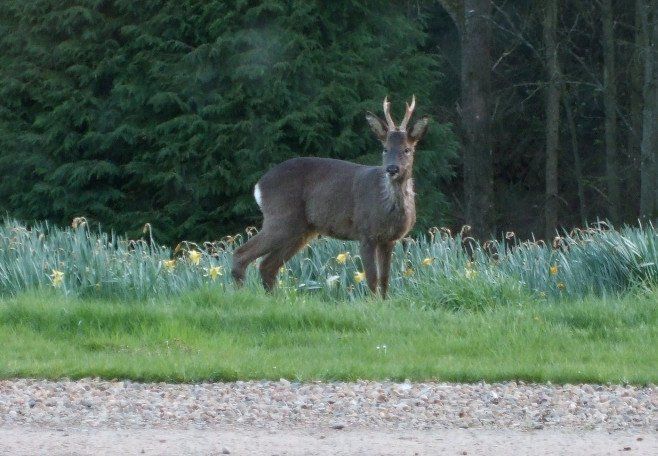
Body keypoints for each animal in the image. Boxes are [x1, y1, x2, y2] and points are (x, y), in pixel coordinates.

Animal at [231, 96, 429, 298]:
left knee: (267, 266)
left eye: (407, 149)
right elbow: (372, 279)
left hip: (300, 230)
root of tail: (259, 186)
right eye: (384, 149)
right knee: (241, 254)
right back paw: (241, 294)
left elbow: (385, 280)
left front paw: (383, 303)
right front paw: (372, 303)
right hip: (280, 219)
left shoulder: (389, 240)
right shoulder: (365, 232)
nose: (392, 169)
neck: (387, 207)